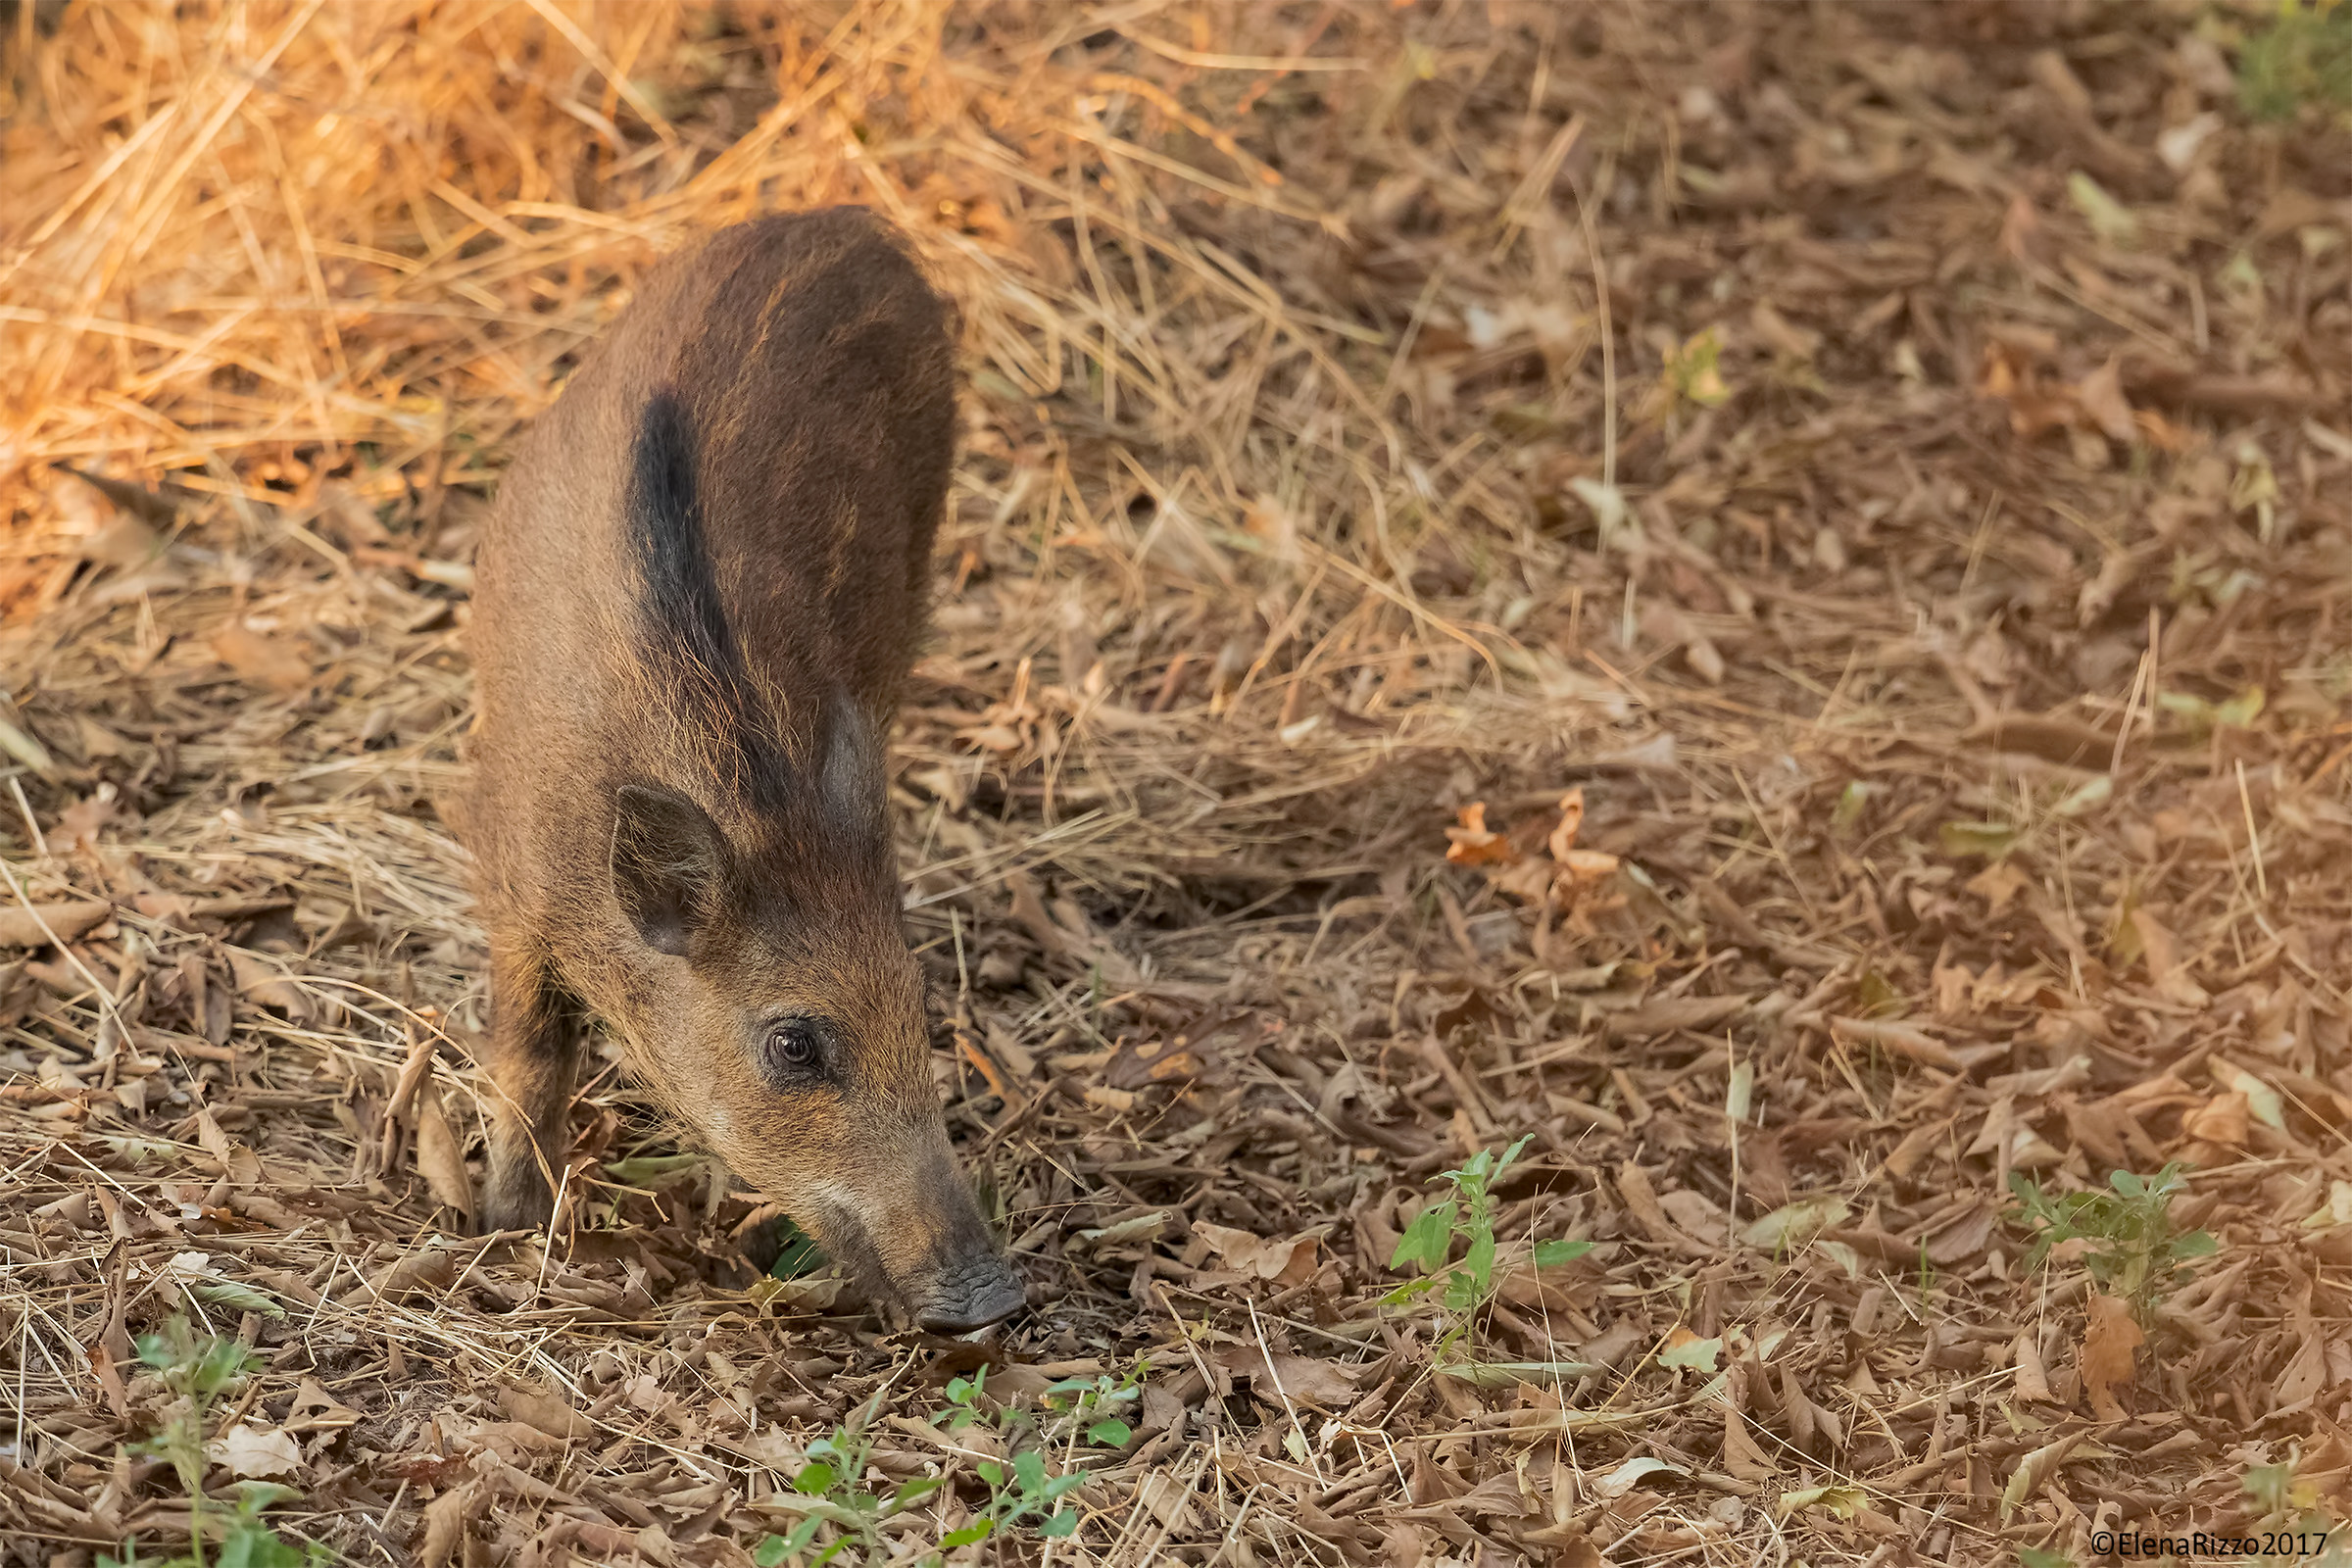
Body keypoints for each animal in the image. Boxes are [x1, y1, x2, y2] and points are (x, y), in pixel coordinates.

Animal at [462, 207, 1023, 1332]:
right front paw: (512, 1226)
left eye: (918, 1005)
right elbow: (529, 1054)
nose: (994, 1298)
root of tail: (846, 219)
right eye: (794, 1045)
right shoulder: (506, 884)